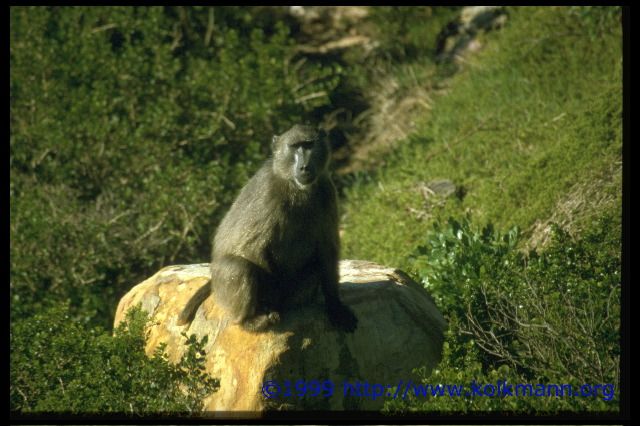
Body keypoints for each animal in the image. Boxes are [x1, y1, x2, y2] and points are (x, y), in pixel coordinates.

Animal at [177, 124, 358, 333]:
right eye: (294, 147)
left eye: (308, 145)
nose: (304, 167)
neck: (296, 188)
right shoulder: (268, 194)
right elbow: (252, 247)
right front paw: (265, 308)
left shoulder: (327, 190)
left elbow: (327, 249)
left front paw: (335, 307)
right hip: (222, 285)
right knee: (240, 267)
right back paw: (250, 320)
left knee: (314, 267)